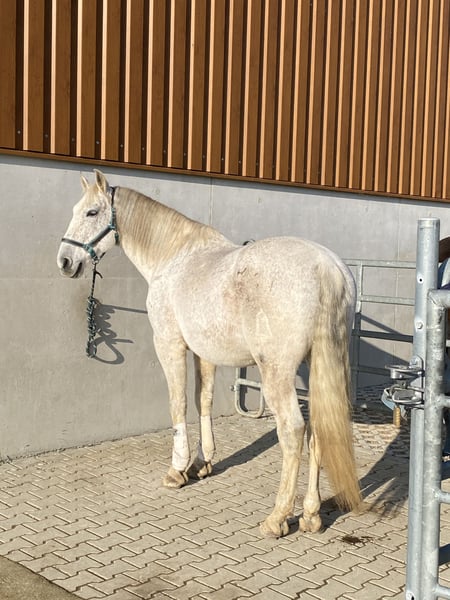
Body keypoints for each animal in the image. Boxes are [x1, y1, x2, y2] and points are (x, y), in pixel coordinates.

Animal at [57, 170, 361, 538]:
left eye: (92, 212)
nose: (65, 261)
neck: (173, 258)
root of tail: (325, 266)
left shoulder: (169, 343)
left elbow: (178, 403)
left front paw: (177, 471)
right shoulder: (204, 353)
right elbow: (203, 401)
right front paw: (202, 464)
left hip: (276, 373)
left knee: (292, 432)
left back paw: (277, 518)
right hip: (319, 368)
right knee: (319, 431)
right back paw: (311, 515)